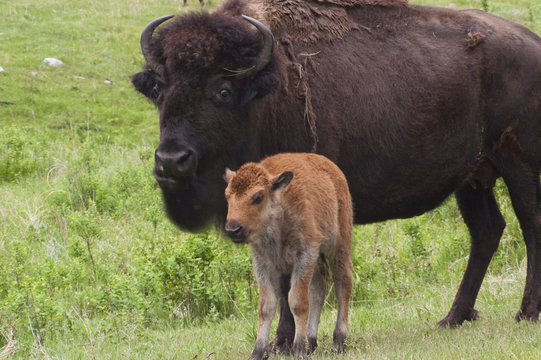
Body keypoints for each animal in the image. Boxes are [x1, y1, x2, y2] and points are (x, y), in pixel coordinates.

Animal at [225, 153, 354, 360]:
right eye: (227, 196)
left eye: (258, 197)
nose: (233, 229)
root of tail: (333, 169)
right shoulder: (262, 262)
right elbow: (266, 306)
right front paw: (258, 352)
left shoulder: (305, 254)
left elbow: (297, 301)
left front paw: (299, 350)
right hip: (318, 259)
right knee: (319, 286)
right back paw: (311, 341)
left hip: (339, 244)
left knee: (343, 283)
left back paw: (339, 342)